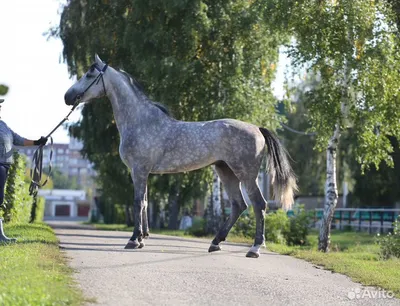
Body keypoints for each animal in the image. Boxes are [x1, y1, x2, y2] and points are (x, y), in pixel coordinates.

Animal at [65, 55, 296, 258]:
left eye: (89, 74)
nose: (68, 97)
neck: (141, 121)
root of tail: (257, 128)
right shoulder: (143, 172)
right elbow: (145, 202)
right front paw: (141, 239)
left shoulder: (138, 170)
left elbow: (138, 202)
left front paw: (133, 240)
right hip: (226, 171)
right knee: (239, 205)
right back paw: (215, 243)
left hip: (246, 174)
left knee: (259, 204)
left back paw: (255, 248)